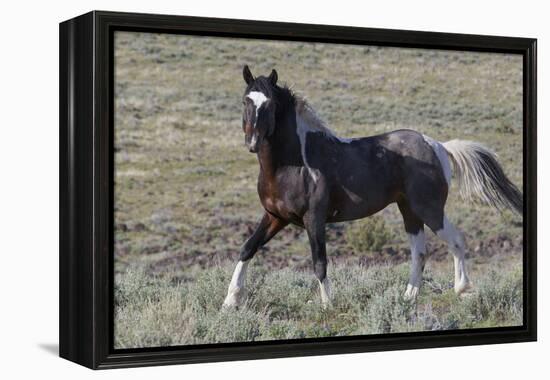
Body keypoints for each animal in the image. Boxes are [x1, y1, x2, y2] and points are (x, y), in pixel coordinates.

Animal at [222, 65, 524, 308]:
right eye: (245, 100)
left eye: (270, 104)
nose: (252, 142)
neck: (293, 164)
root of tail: (438, 145)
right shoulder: (275, 217)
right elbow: (247, 248)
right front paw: (230, 301)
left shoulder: (314, 219)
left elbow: (319, 262)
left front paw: (328, 305)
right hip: (409, 210)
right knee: (420, 253)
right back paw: (407, 298)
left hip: (429, 209)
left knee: (456, 241)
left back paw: (461, 289)